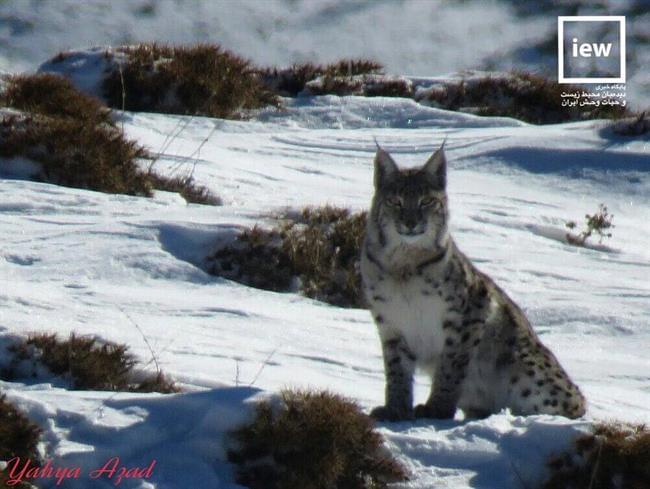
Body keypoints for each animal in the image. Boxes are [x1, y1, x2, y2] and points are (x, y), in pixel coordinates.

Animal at [362, 144, 584, 420]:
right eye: (395, 202)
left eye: (426, 201)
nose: (411, 223)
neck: (403, 261)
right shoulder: (390, 322)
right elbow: (396, 370)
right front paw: (396, 410)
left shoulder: (471, 309)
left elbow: (451, 364)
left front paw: (437, 408)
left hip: (526, 368)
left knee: (572, 403)